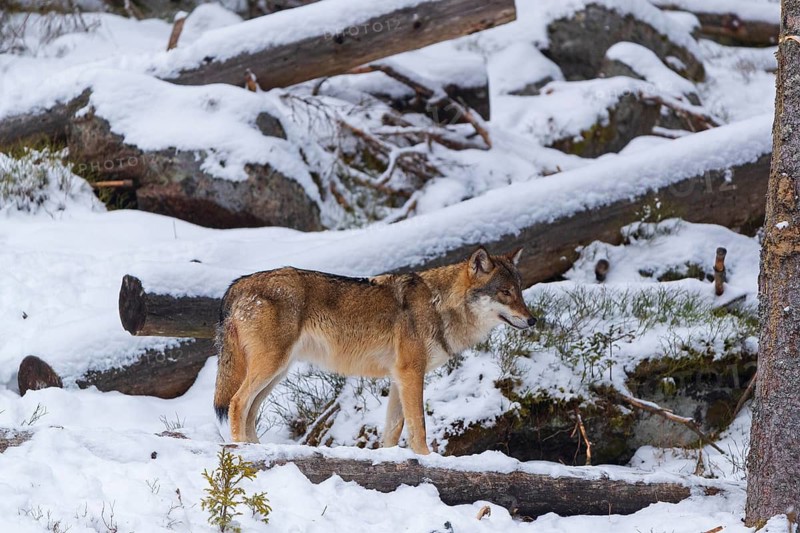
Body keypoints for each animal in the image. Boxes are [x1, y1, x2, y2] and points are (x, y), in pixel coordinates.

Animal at [213, 247, 537, 454]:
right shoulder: (411, 373)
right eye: (505, 292)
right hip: (270, 368)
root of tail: (238, 284)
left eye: (520, 291)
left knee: (249, 410)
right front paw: (428, 460)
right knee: (237, 403)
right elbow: (419, 428)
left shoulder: (399, 377)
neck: (439, 306)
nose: (532, 320)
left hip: (276, 373)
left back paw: (256, 447)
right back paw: (242, 449)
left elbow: (393, 431)